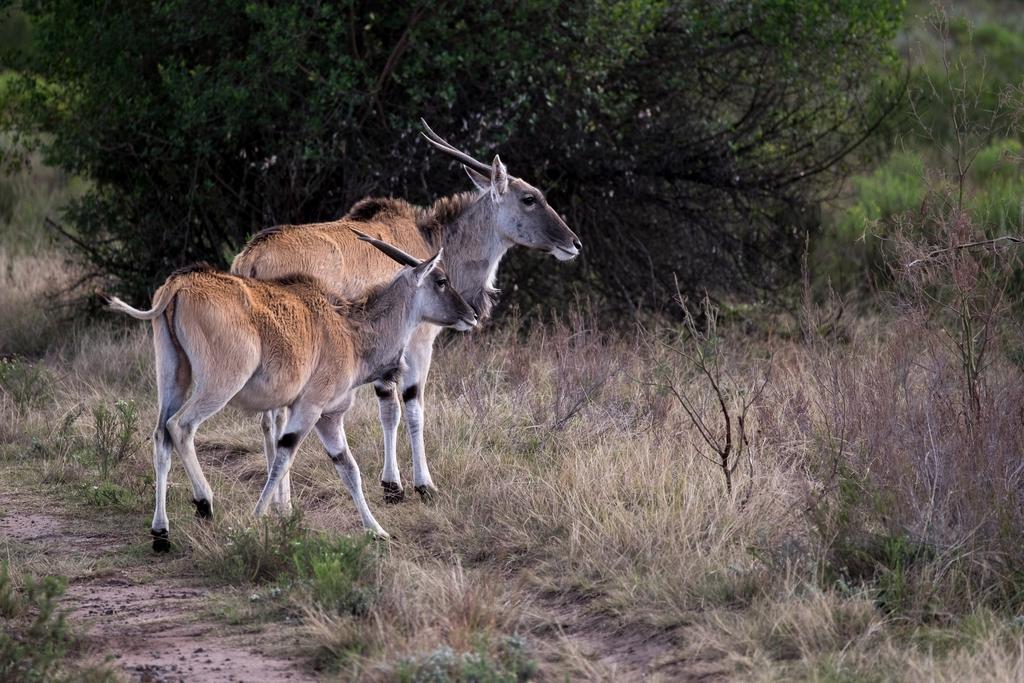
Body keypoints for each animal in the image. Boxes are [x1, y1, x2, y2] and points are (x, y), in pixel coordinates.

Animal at [105, 235, 473, 548]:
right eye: (441, 281)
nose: (472, 315)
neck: (349, 330)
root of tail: (178, 285)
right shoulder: (311, 408)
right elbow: (283, 458)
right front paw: (258, 520)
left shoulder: (328, 417)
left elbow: (348, 468)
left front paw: (377, 530)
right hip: (220, 383)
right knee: (180, 426)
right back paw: (204, 502)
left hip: (173, 378)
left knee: (160, 434)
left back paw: (161, 532)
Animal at [234, 120, 585, 507]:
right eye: (529, 199)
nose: (574, 243)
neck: (431, 241)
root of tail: (251, 257)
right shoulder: (416, 344)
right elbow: (409, 408)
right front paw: (416, 485)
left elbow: (388, 408)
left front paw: (394, 484)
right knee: (281, 419)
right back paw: (284, 504)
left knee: (268, 421)